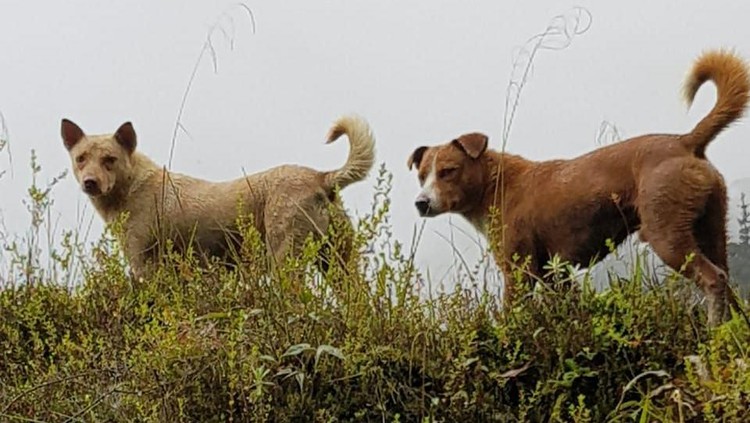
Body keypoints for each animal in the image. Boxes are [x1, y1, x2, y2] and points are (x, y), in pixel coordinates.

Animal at [61, 115, 376, 278]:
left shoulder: (144, 265)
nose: (90, 183)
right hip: (339, 264)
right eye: (81, 158)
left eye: (109, 160)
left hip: (284, 259)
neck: (130, 188)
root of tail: (321, 177)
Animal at [412, 50, 750, 328]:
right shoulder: (553, 272)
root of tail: (685, 141)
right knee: (727, 280)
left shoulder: (519, 270)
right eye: (421, 175)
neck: (494, 185)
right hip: (711, 228)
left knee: (713, 279)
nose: (421, 203)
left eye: (448, 171)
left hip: (667, 235)